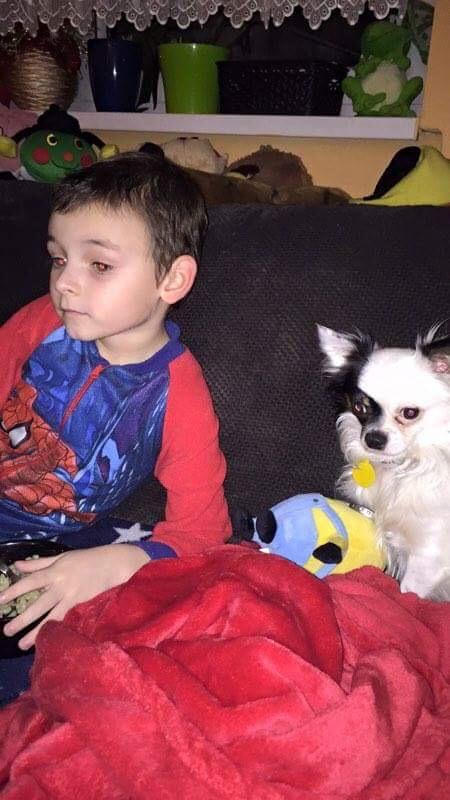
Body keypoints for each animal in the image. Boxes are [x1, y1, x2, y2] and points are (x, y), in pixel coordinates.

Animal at [317, 323, 450, 600]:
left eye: (410, 413)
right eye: (360, 407)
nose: (373, 438)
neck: (405, 465)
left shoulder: (429, 554)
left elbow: (409, 593)